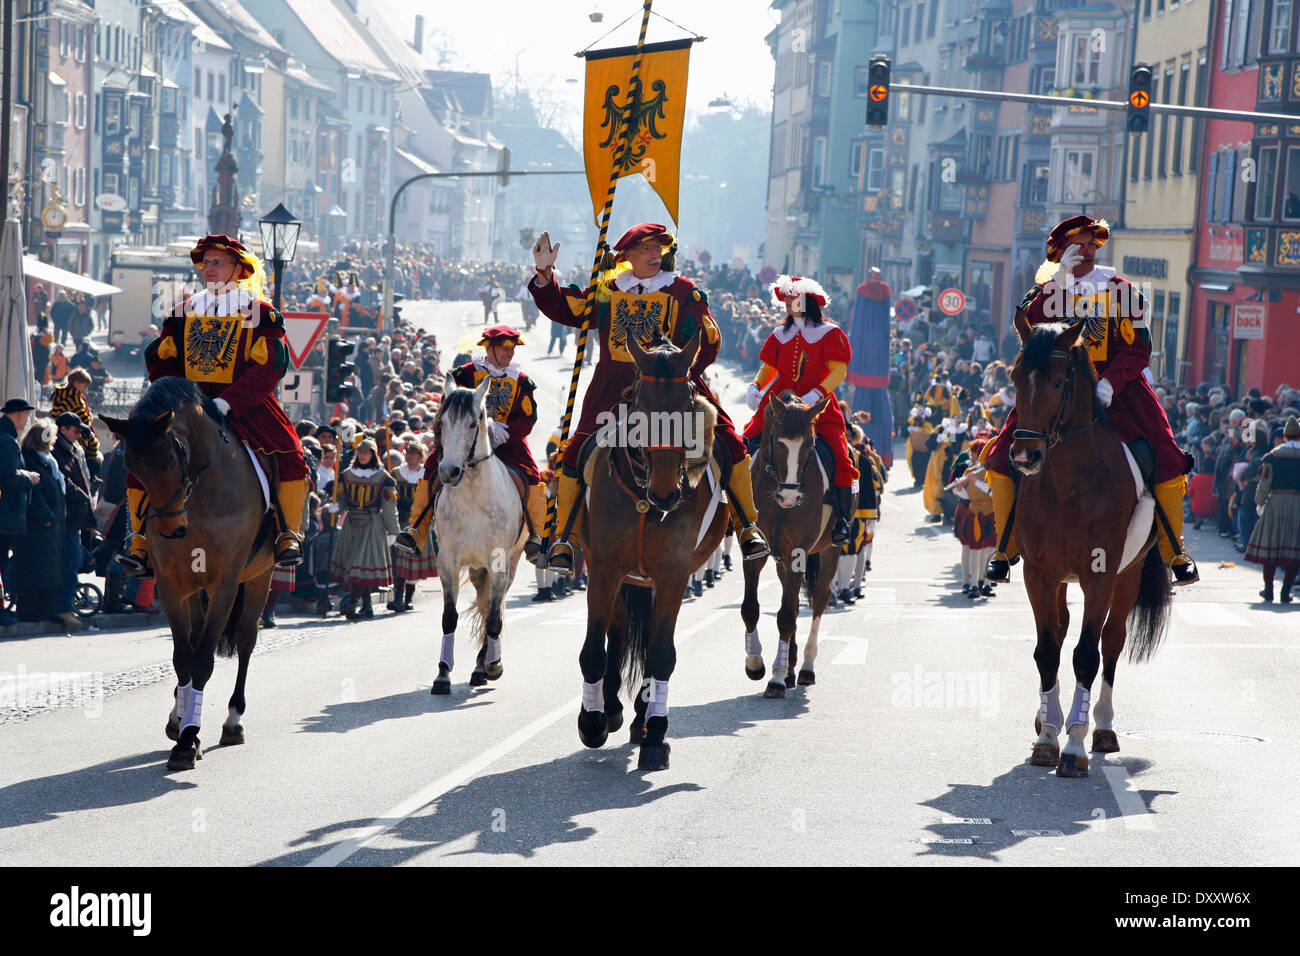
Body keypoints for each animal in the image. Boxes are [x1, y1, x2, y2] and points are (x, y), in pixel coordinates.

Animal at [102, 377, 275, 775]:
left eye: (171, 458)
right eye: (132, 468)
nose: (171, 529)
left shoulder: (225, 586)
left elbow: (203, 659)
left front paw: (188, 738)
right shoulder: (171, 586)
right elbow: (183, 657)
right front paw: (183, 729)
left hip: (260, 576)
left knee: (246, 638)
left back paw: (233, 720)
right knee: (197, 639)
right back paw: (178, 716)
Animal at [428, 374, 525, 697]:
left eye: (473, 424)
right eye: (443, 422)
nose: (448, 471)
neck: (472, 498)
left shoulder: (498, 563)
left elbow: (494, 618)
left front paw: (492, 666)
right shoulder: (448, 562)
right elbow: (449, 618)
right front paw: (442, 674)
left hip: (509, 563)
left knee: (491, 609)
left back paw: (485, 666)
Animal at [572, 332, 733, 775]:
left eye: (688, 404)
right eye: (639, 407)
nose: (666, 493)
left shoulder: (673, 576)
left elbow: (661, 655)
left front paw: (657, 737)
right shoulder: (604, 570)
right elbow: (593, 650)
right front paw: (591, 720)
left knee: (645, 646)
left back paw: (642, 721)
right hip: (625, 578)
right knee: (618, 630)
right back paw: (610, 709)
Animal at [738, 390, 837, 697]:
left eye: (810, 444)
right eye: (778, 443)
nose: (789, 498)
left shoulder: (797, 552)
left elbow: (786, 615)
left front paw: (777, 677)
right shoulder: (756, 553)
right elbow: (751, 608)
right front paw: (755, 663)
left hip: (830, 550)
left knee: (817, 600)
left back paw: (804, 667)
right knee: (790, 600)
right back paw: (791, 667)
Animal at [1008, 314, 1175, 780]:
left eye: (1057, 380)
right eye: (1014, 377)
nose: (1025, 456)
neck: (1069, 483)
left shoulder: (1100, 575)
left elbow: (1087, 653)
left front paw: (1074, 746)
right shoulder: (1038, 573)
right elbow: (1047, 650)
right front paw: (1048, 737)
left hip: (1128, 575)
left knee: (1111, 642)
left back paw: (1100, 727)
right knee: (1061, 628)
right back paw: (1047, 717)